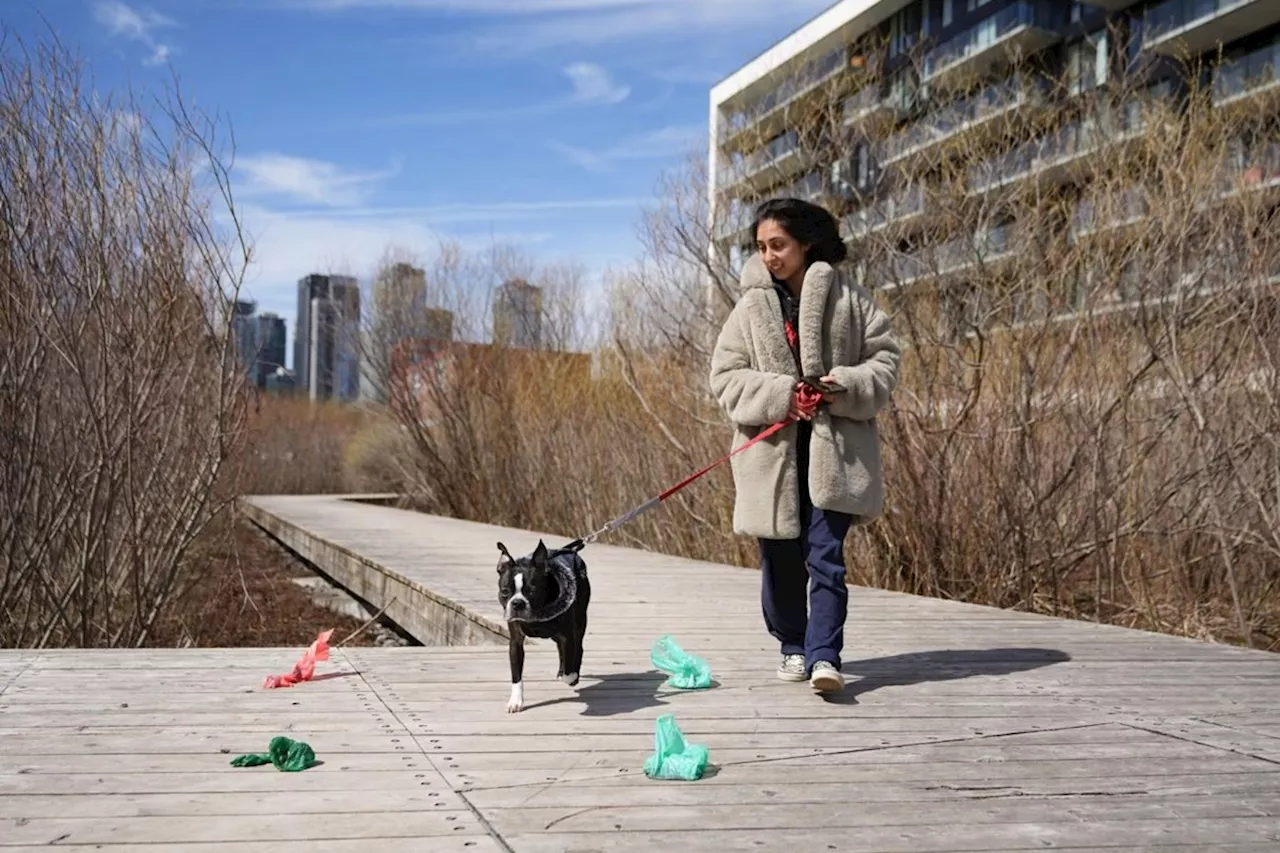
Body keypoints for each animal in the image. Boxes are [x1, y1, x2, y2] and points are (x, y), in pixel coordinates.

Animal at [494, 537, 588, 712]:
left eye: (532, 591)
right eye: (505, 591)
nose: (517, 603)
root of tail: (571, 551)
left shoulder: (568, 636)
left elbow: (569, 665)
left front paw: (571, 677)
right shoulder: (515, 642)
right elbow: (516, 675)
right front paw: (515, 701)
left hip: (579, 624)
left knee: (578, 648)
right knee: (560, 649)